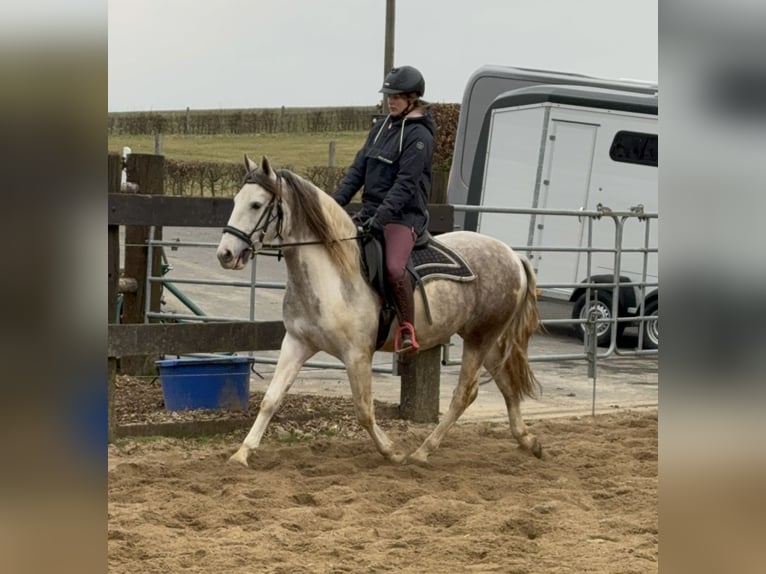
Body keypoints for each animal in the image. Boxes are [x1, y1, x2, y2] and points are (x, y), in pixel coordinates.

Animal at [213, 156, 544, 468]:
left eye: (256, 204)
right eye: (235, 200)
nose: (225, 254)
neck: (331, 274)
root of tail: (512, 255)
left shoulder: (357, 355)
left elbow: (364, 410)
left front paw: (392, 452)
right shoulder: (297, 343)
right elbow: (271, 399)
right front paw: (242, 454)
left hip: (480, 338)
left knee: (465, 393)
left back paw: (423, 452)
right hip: (487, 338)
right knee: (505, 382)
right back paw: (528, 441)